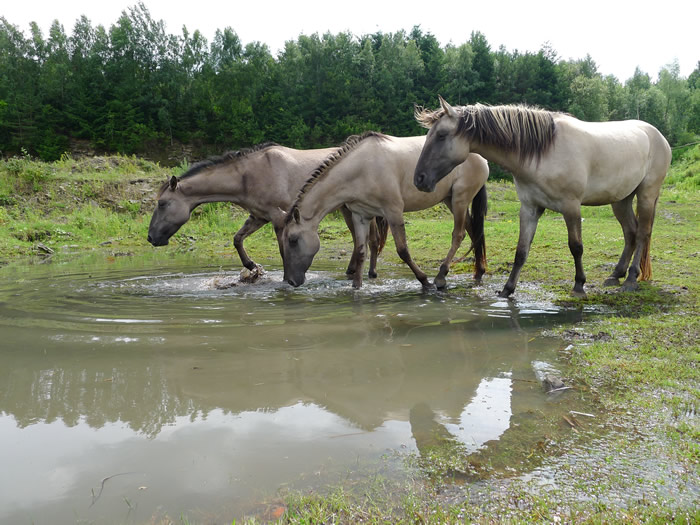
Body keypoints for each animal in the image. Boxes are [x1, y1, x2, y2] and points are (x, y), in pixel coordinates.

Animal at [147, 141, 388, 280]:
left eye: (162, 203)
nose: (150, 237)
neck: (249, 175)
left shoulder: (279, 219)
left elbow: (283, 252)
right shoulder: (258, 216)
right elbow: (237, 239)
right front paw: (251, 266)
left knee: (372, 240)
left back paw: (371, 273)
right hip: (347, 210)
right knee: (360, 241)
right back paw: (351, 271)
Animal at [278, 130, 486, 286]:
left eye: (293, 240)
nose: (291, 281)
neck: (361, 169)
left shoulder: (393, 212)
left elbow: (403, 250)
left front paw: (424, 281)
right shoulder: (360, 215)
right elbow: (361, 251)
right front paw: (356, 287)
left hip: (460, 199)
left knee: (459, 235)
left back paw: (441, 277)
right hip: (450, 200)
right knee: (473, 230)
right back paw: (479, 272)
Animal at [412, 96, 668, 296]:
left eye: (442, 135)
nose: (419, 179)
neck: (544, 152)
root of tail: (657, 135)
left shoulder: (571, 206)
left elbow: (576, 246)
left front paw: (579, 286)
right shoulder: (530, 208)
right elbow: (521, 251)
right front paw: (507, 289)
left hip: (646, 194)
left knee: (643, 233)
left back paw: (631, 279)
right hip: (621, 199)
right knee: (631, 232)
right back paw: (616, 275)